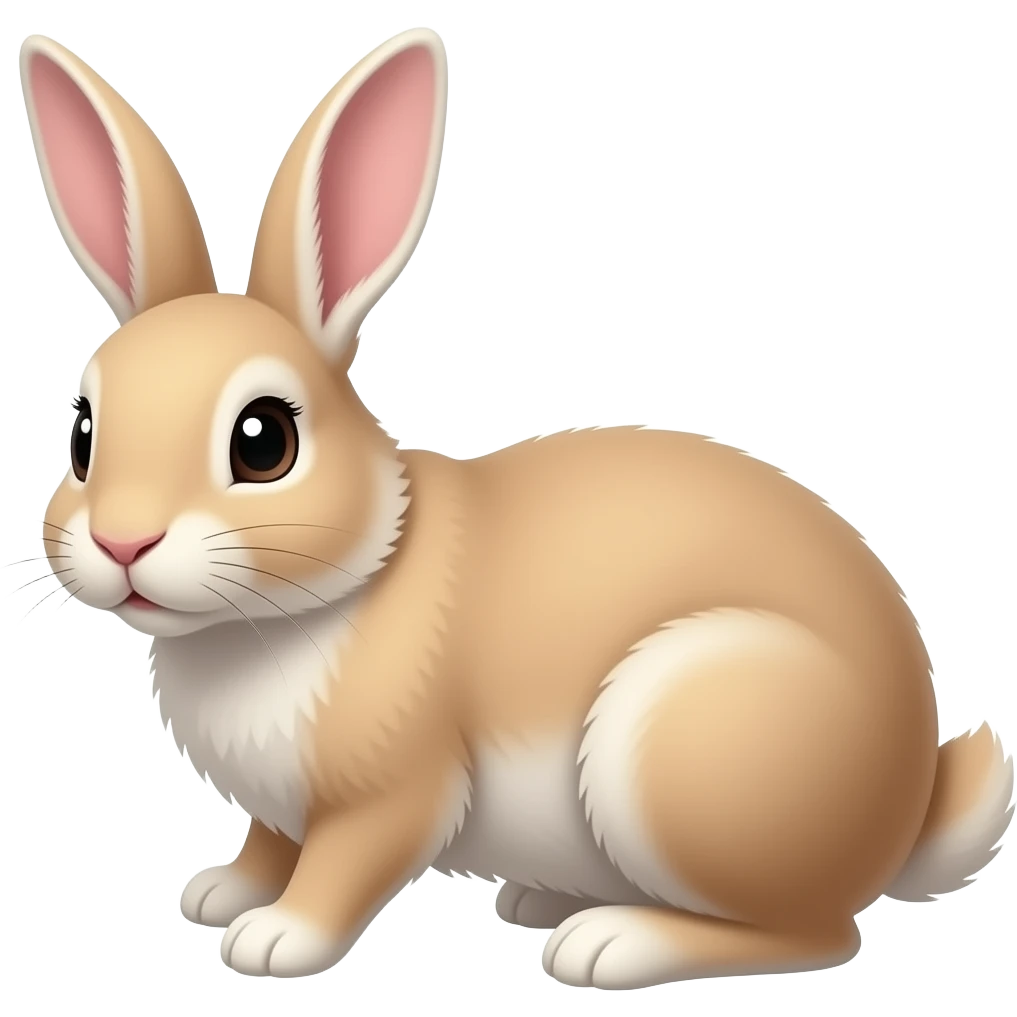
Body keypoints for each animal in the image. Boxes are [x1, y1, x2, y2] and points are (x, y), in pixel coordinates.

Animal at [18, 28, 1015, 989]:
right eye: (81, 432)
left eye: (263, 440)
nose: (123, 540)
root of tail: (905, 805)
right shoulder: (283, 806)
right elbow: (270, 842)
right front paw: (219, 891)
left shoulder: (391, 792)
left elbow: (343, 867)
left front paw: (275, 939)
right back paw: (543, 899)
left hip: (682, 742)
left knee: (814, 932)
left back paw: (610, 944)